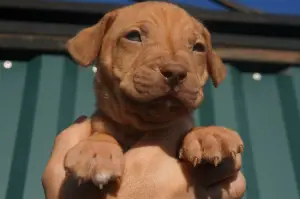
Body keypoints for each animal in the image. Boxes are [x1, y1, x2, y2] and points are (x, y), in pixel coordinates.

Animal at [63, 0, 244, 196]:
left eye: (198, 48)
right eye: (133, 37)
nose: (175, 72)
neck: (141, 127)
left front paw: (207, 134)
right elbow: (102, 132)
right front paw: (97, 149)